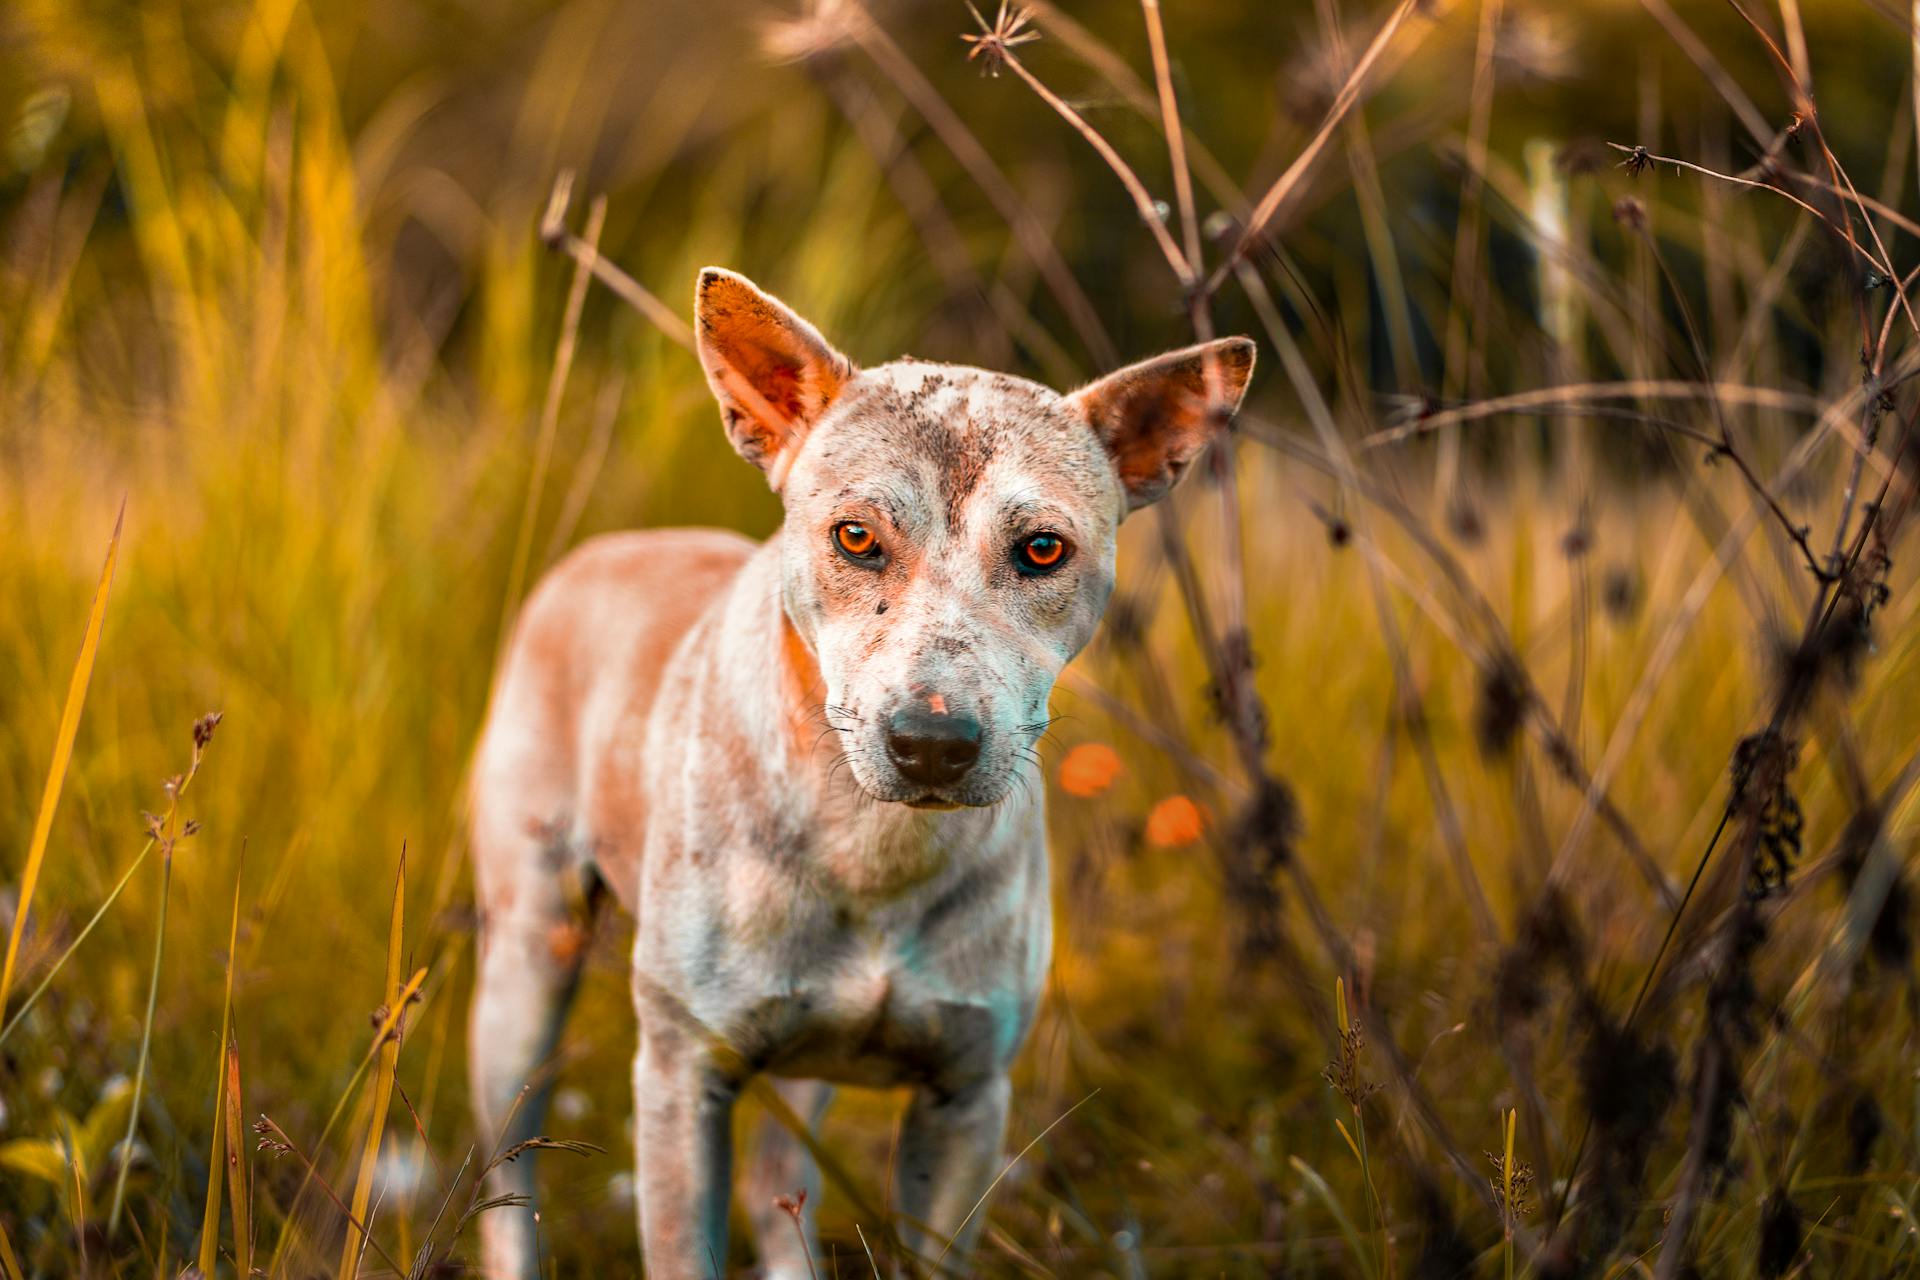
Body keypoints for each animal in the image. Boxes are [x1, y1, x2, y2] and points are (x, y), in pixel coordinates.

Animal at [462, 264, 1244, 1274]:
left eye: (1043, 549)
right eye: (857, 537)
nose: (933, 742)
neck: (870, 842)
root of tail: (610, 546)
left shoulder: (966, 1095)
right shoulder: (681, 1075)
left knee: (778, 1177)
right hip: (526, 964)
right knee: (511, 1161)